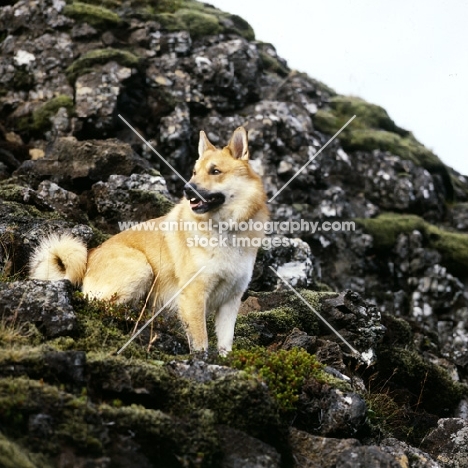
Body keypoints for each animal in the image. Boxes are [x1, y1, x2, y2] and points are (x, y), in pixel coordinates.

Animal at [29, 128, 268, 354]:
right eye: (194, 172)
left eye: (215, 171)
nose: (187, 189)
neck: (226, 232)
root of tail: (90, 256)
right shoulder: (193, 297)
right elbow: (201, 343)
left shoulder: (230, 302)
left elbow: (225, 344)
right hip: (142, 269)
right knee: (100, 305)